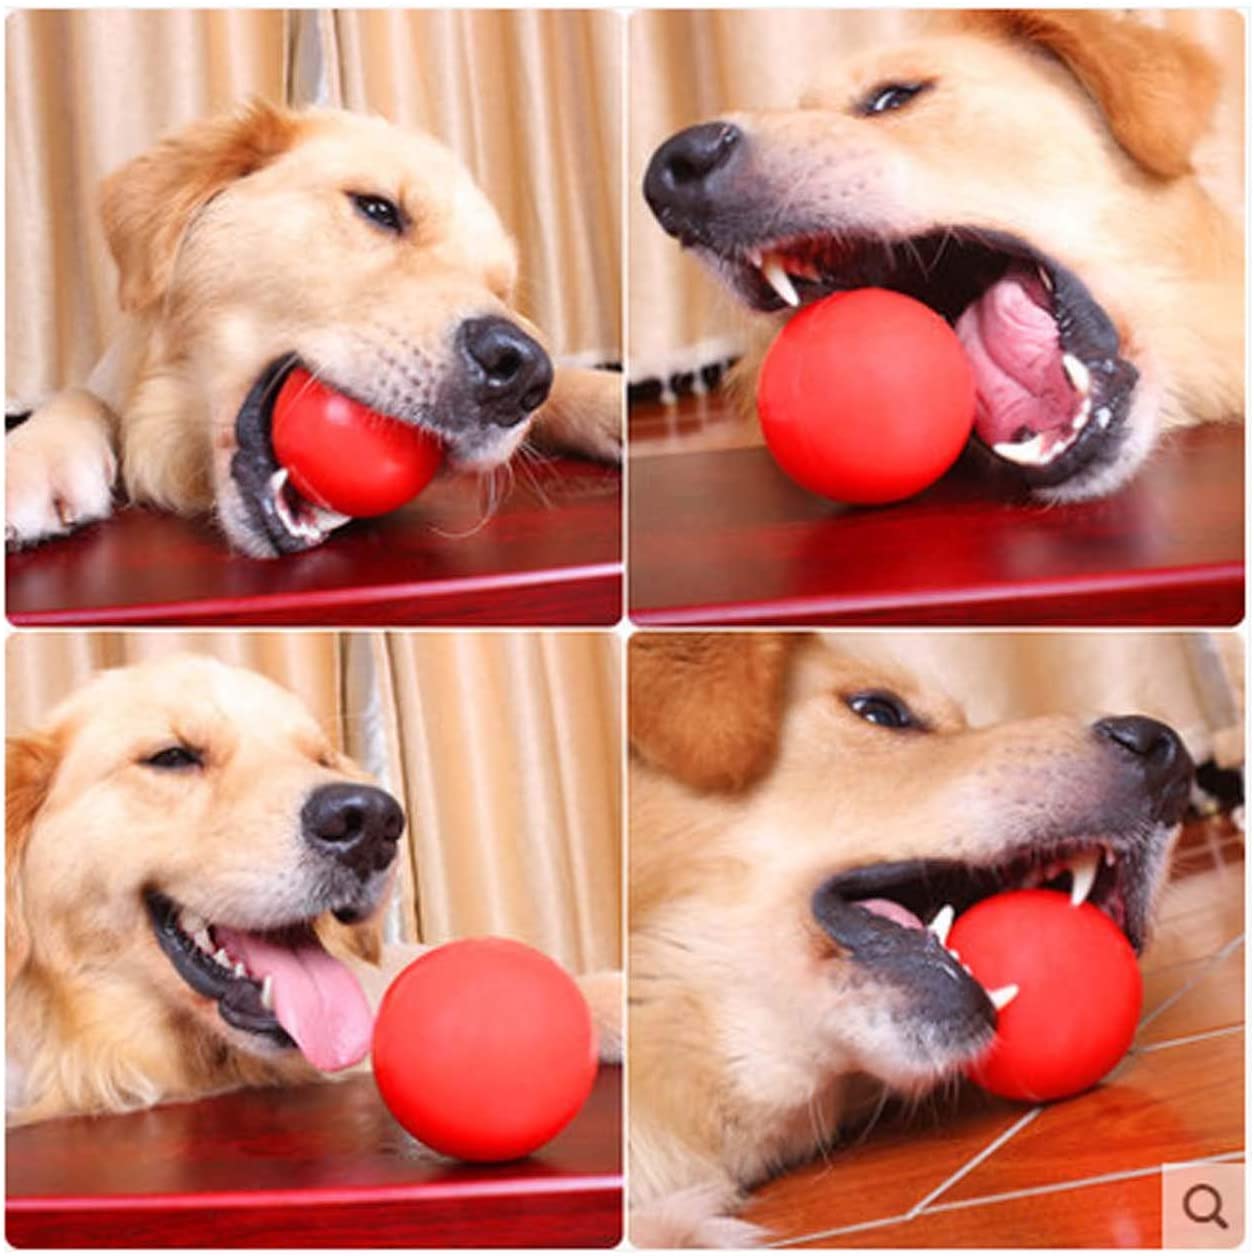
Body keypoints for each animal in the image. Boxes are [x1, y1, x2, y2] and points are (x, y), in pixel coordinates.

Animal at [4, 101, 623, 560]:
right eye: (378, 209)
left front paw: (606, 399)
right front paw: (33, 459)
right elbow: (81, 396)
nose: (521, 370)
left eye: (500, 289)